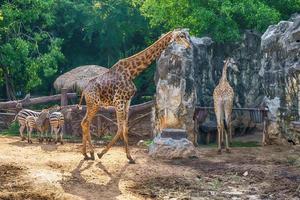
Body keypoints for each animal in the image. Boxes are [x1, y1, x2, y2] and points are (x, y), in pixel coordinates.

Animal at [77, 28, 190, 162]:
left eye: (186, 35)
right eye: (180, 36)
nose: (188, 46)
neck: (132, 72)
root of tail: (84, 90)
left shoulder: (126, 101)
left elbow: (124, 128)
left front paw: (129, 157)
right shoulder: (118, 101)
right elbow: (120, 128)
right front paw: (102, 153)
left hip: (93, 104)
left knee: (85, 122)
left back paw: (87, 154)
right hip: (94, 104)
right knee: (85, 122)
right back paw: (91, 153)